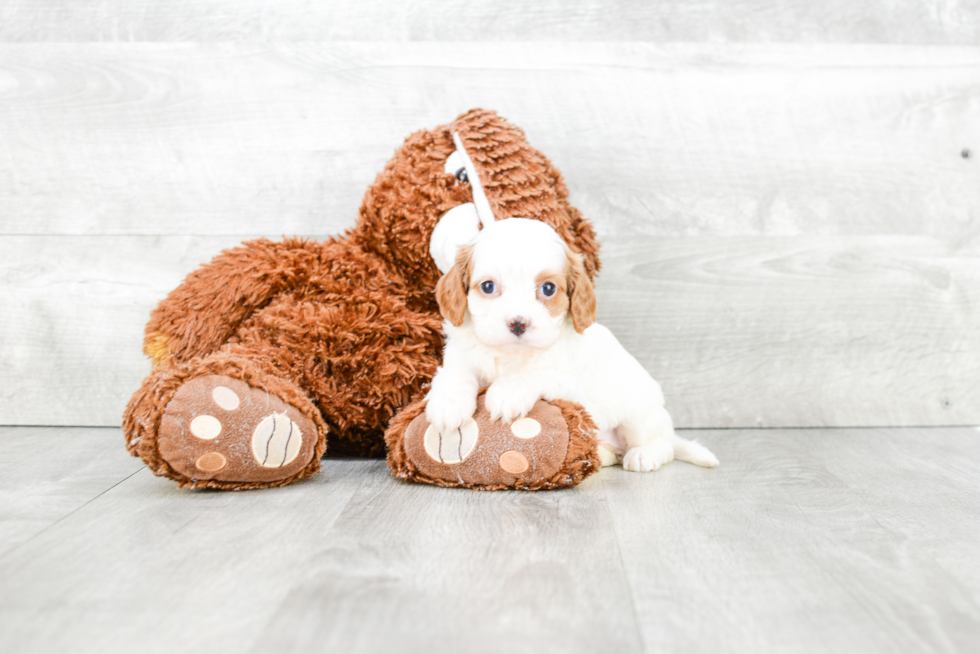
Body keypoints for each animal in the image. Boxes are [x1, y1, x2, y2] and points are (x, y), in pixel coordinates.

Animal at [424, 219, 716, 472]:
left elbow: (534, 372)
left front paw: (507, 392)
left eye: (548, 289)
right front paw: (447, 404)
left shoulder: (569, 381)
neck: (511, 355)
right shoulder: (460, 355)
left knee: (663, 445)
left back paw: (644, 454)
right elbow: (455, 373)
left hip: (639, 413)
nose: (518, 324)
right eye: (487, 286)